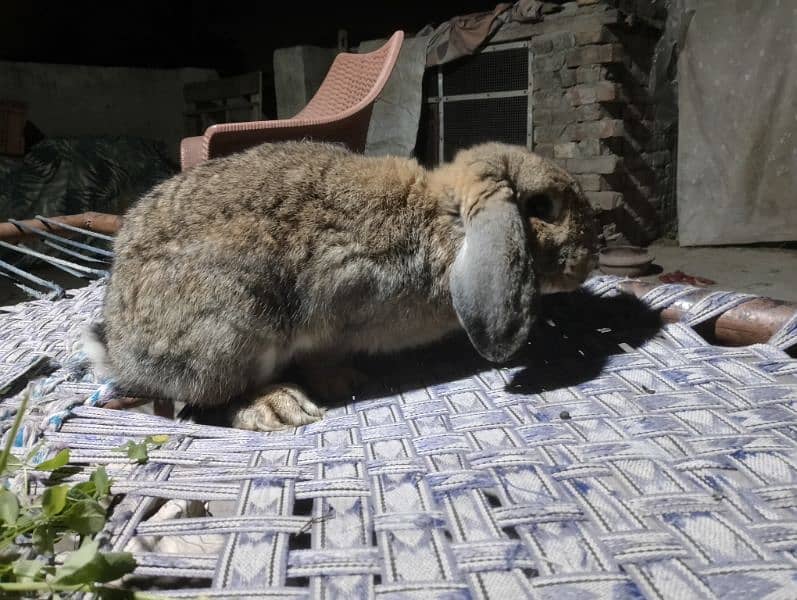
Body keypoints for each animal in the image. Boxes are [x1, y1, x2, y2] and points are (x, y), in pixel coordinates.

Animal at [85, 141, 596, 432]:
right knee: (211, 399)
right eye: (543, 207)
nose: (590, 260)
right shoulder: (336, 307)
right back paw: (278, 406)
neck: (444, 224)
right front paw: (340, 381)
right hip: (231, 328)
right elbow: (320, 352)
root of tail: (122, 353)